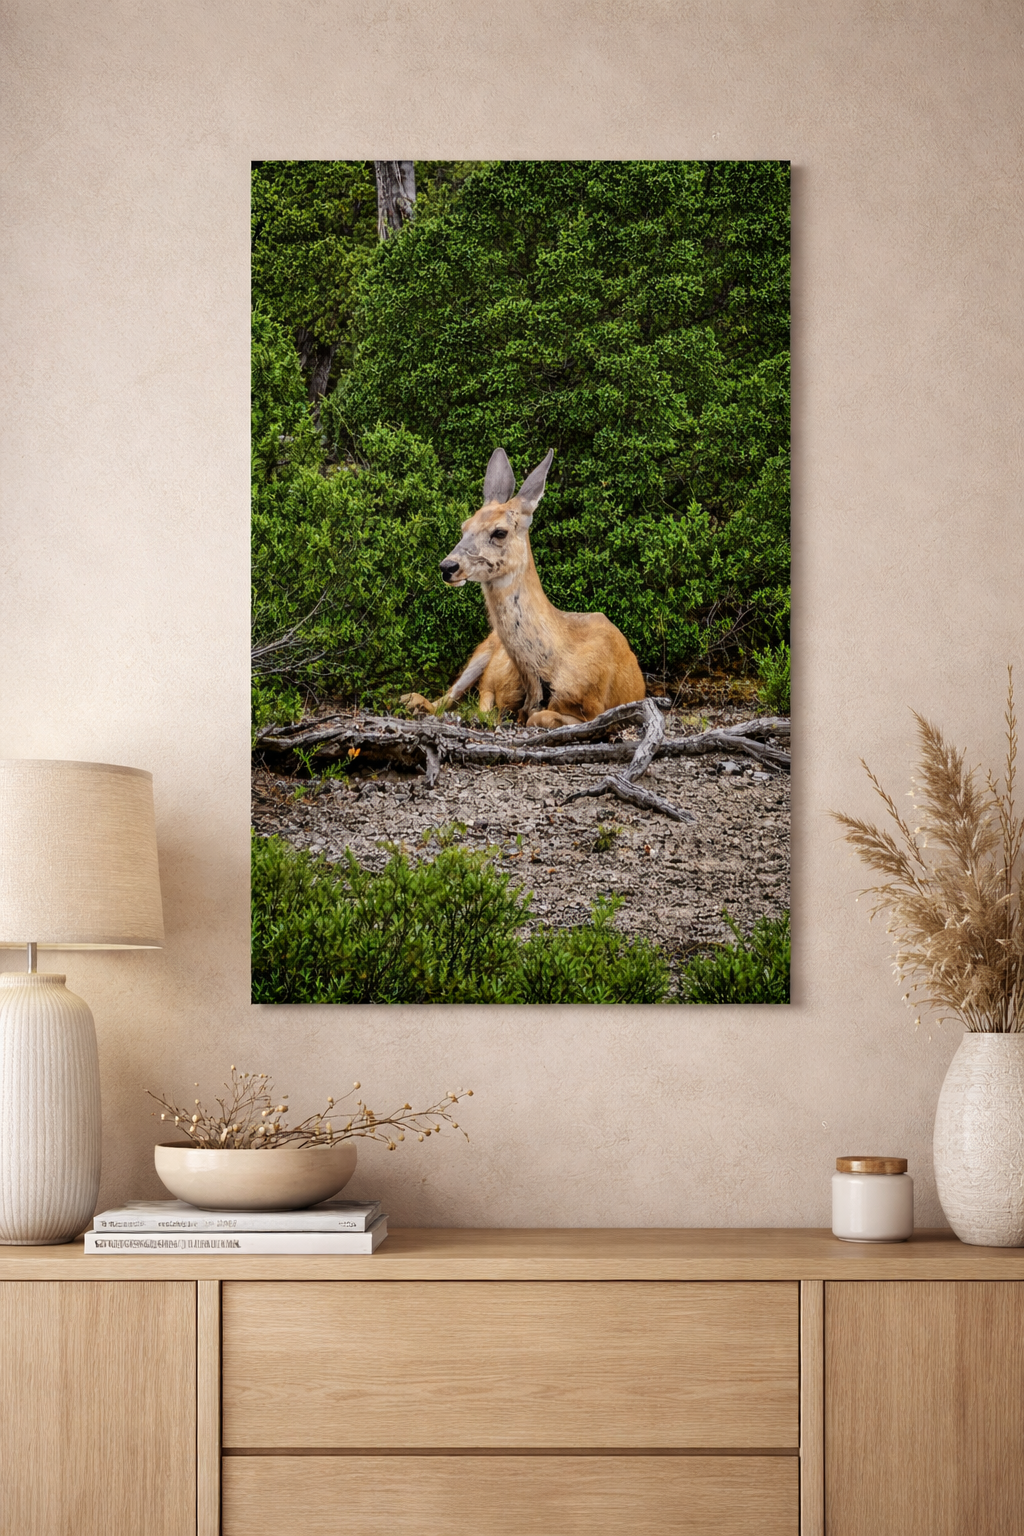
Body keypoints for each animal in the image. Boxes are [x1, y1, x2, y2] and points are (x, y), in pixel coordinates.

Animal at [402, 448, 645, 729]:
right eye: (464, 526)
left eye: (499, 532)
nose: (448, 566)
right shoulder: (492, 685)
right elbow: (492, 705)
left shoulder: (596, 707)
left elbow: (537, 716)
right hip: (484, 649)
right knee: (449, 695)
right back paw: (412, 700)